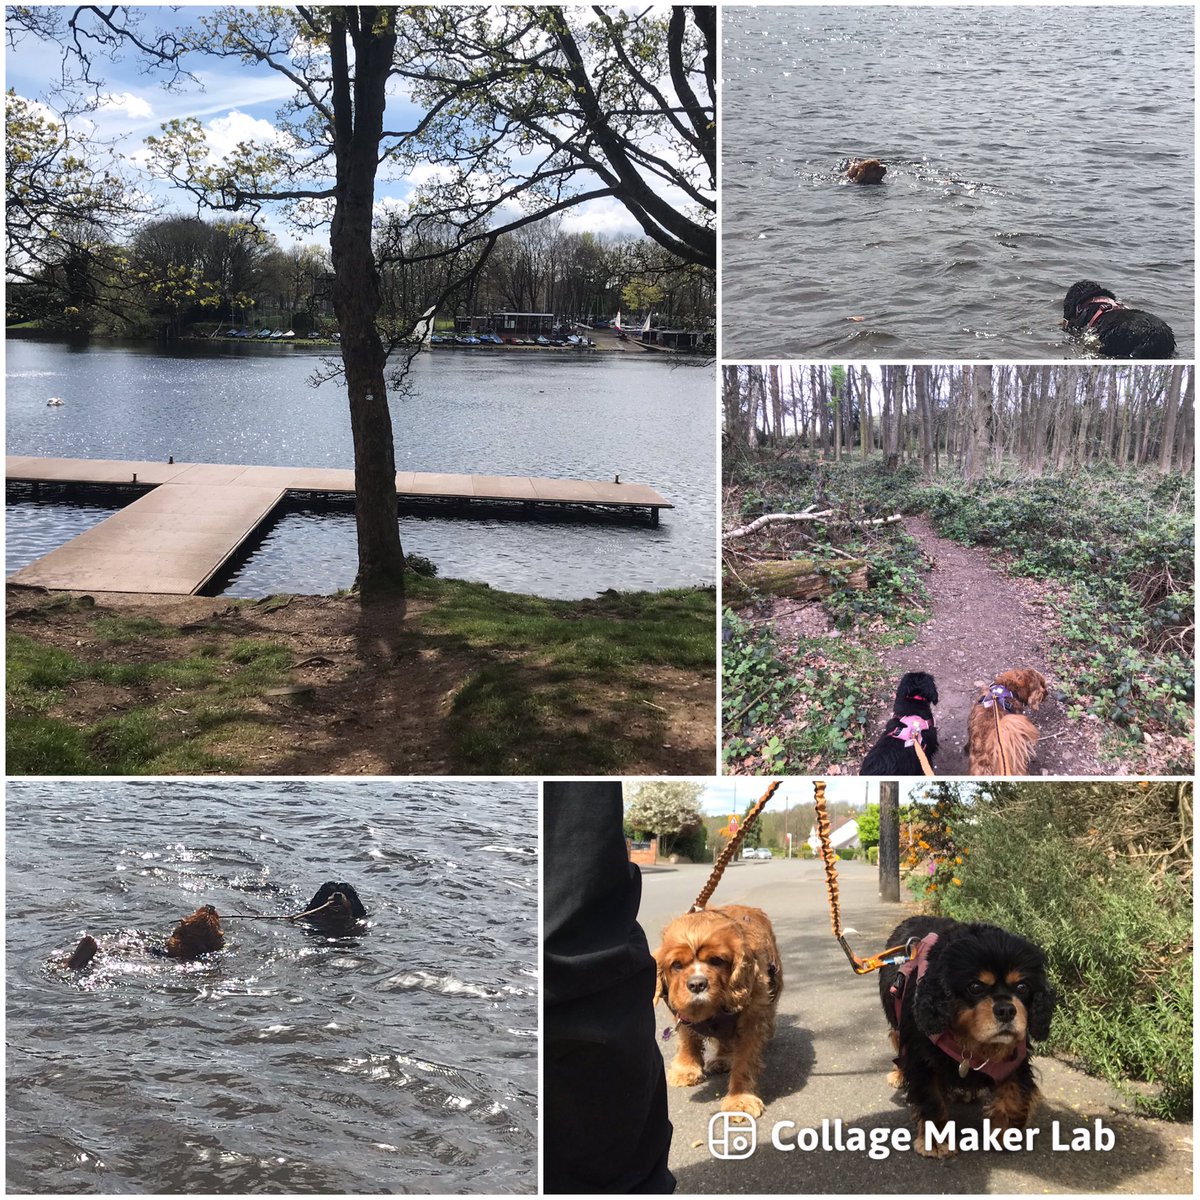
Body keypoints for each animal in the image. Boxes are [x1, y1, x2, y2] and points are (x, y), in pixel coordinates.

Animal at [652, 902, 782, 1118]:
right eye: (676, 965)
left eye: (716, 960)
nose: (697, 984)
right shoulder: (683, 1012)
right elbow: (688, 1039)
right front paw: (686, 1069)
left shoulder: (752, 1019)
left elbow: (745, 1060)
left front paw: (740, 1099)